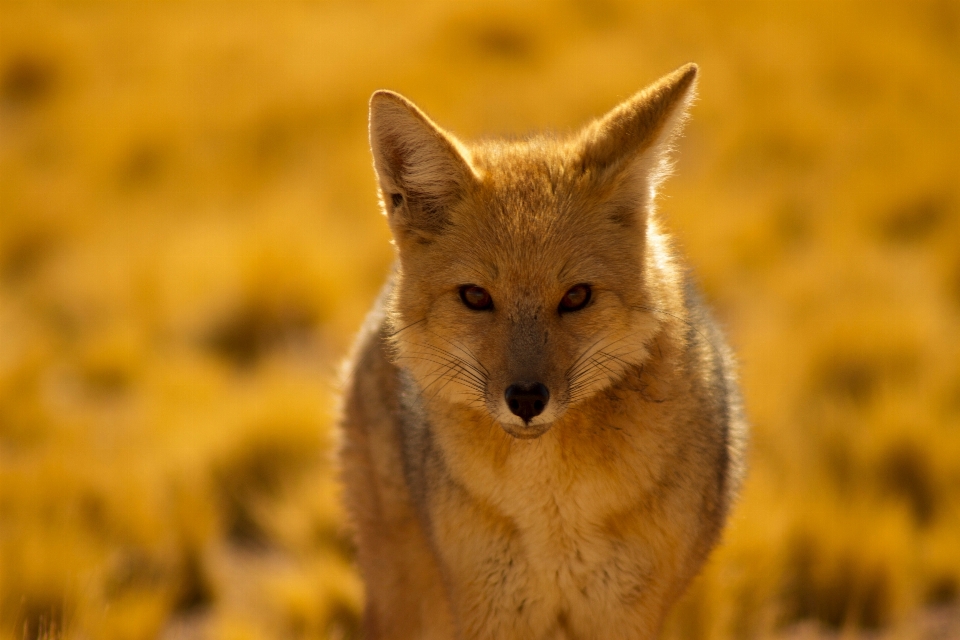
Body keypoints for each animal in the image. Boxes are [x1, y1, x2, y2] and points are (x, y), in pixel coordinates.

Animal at [338, 63, 752, 640]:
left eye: (576, 297)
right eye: (476, 297)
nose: (527, 400)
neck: (553, 515)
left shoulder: (625, 616)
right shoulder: (489, 613)